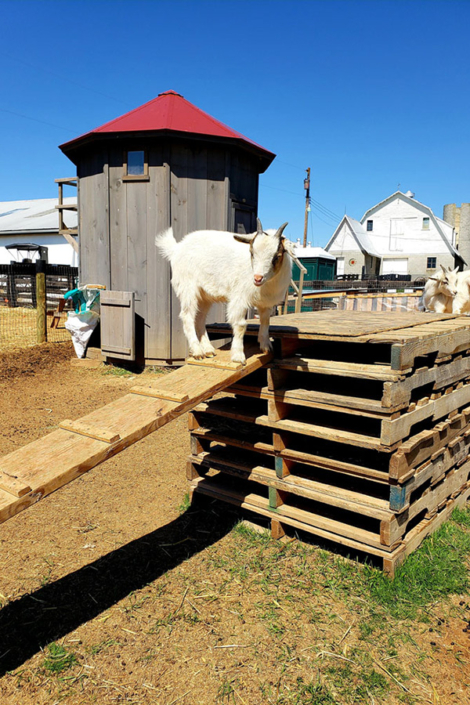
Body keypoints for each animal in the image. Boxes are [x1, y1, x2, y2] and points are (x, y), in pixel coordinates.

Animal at [156, 219, 297, 364]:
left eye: (277, 256)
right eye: (252, 253)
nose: (257, 278)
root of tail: (176, 248)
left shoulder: (265, 303)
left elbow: (265, 321)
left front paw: (266, 346)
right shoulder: (239, 298)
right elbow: (240, 325)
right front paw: (238, 356)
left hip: (204, 296)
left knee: (200, 318)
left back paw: (208, 350)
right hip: (188, 289)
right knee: (187, 316)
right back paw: (197, 351)